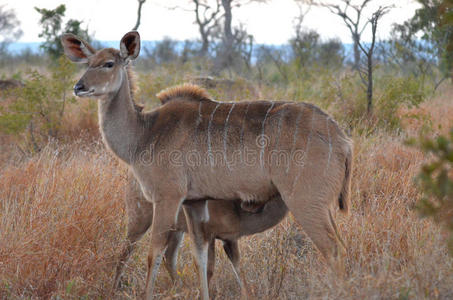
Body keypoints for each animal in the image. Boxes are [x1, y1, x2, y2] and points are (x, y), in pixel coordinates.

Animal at [62, 31, 354, 300]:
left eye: (108, 63)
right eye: (87, 63)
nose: (79, 87)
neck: (144, 133)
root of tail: (342, 138)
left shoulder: (167, 197)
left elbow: (154, 253)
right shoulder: (194, 203)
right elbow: (199, 259)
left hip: (304, 201)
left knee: (333, 249)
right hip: (321, 204)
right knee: (341, 246)